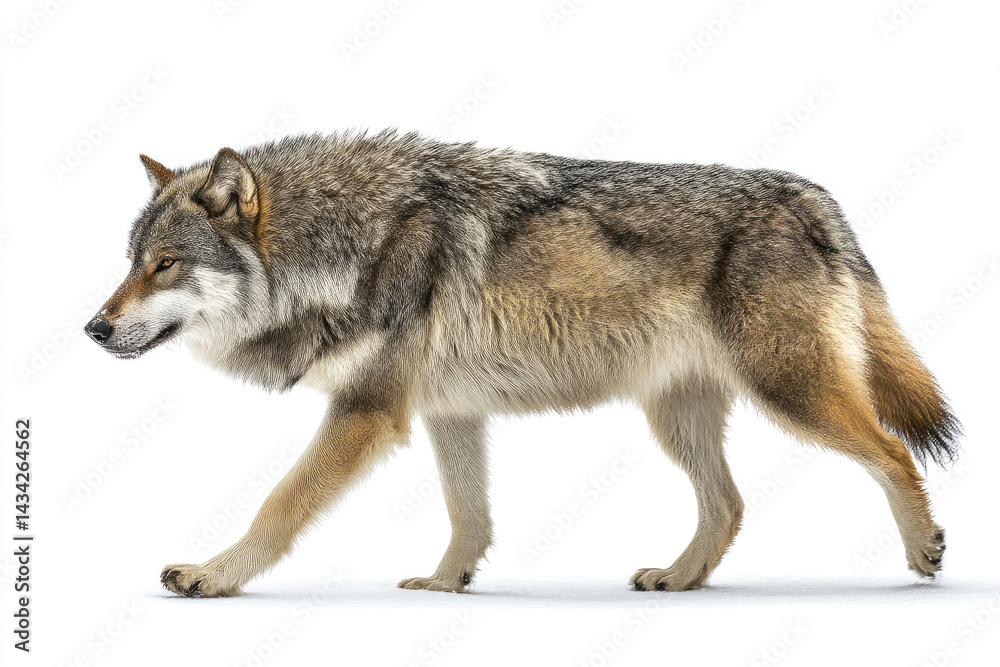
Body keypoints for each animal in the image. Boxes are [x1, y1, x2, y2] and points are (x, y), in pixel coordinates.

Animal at [85, 131, 959, 597]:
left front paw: (214, 574)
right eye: (129, 262)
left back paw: (924, 550)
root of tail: (813, 196)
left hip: (792, 394)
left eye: (164, 265)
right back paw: (678, 579)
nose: (93, 327)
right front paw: (446, 585)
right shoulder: (448, 412)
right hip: (676, 418)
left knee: (893, 451)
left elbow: (279, 505)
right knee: (731, 503)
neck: (342, 249)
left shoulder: (366, 413)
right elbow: (469, 515)